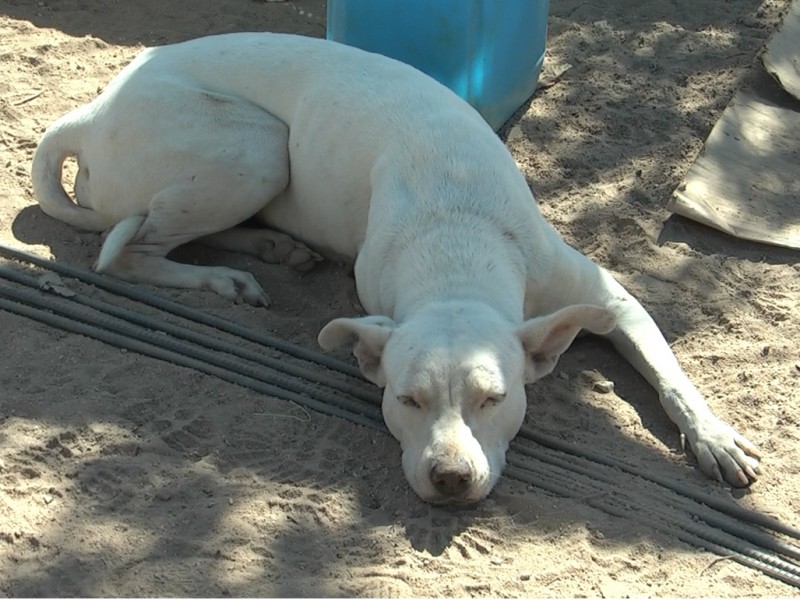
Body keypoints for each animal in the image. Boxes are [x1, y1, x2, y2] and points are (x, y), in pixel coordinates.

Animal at [31, 32, 756, 502]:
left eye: (494, 399)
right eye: (408, 400)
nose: (451, 479)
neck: (455, 237)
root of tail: (88, 113)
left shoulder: (610, 297)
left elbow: (672, 377)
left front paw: (715, 437)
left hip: (256, 158)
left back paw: (272, 249)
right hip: (256, 147)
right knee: (130, 251)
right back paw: (226, 278)